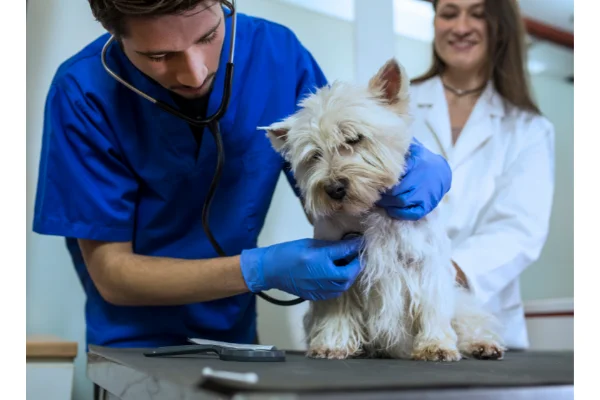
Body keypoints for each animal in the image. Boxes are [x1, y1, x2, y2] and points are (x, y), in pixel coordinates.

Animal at [260, 59, 504, 362]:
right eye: (314, 155)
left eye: (354, 138)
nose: (334, 188)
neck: (371, 207)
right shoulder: (334, 270)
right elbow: (337, 308)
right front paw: (332, 345)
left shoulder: (426, 264)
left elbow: (432, 307)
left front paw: (435, 345)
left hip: (461, 302)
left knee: (470, 320)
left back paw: (483, 345)